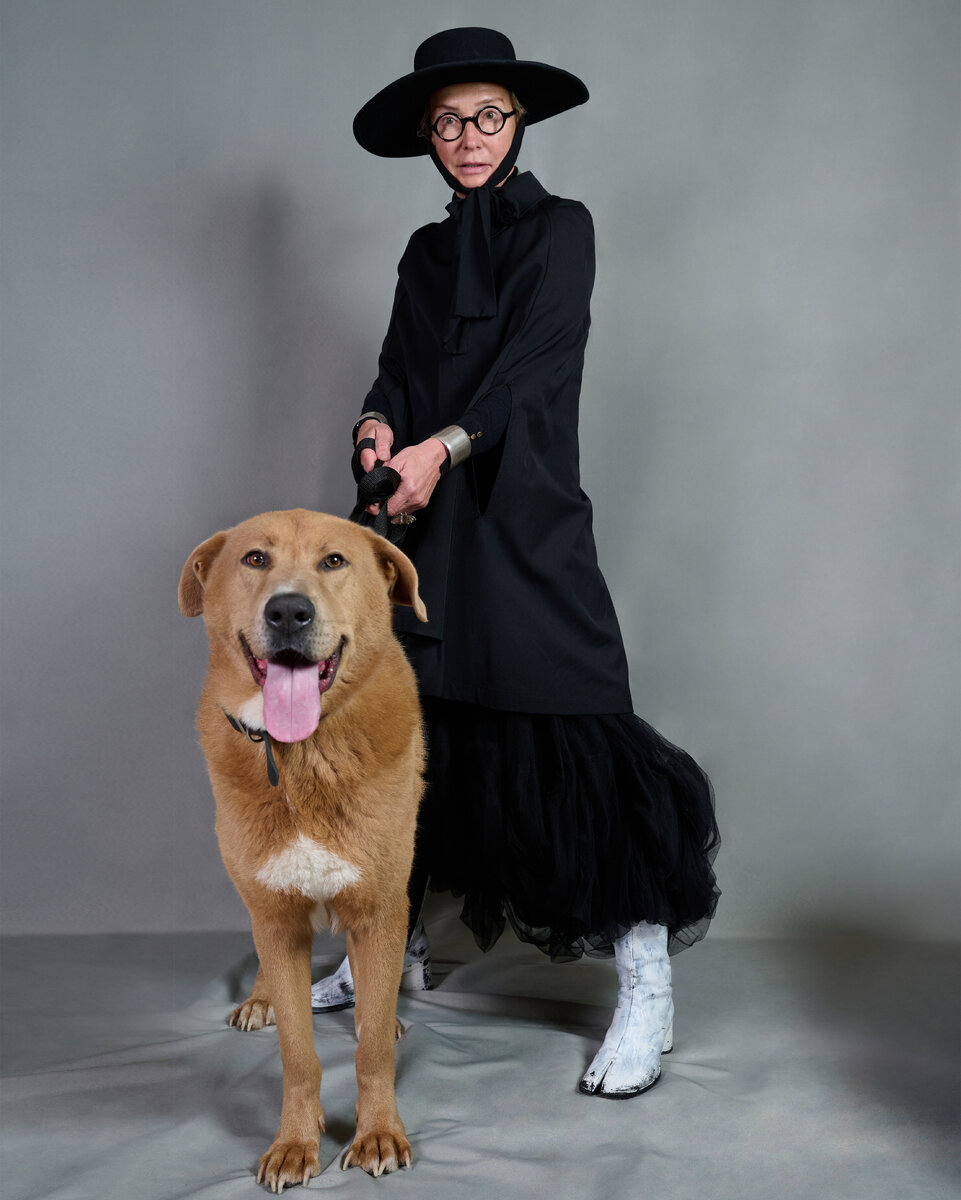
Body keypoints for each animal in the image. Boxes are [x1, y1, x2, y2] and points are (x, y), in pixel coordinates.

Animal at [178, 508, 427, 1189]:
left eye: (334, 561)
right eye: (255, 559)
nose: (289, 611)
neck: (302, 751)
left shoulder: (380, 907)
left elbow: (371, 1049)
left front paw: (378, 1133)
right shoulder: (277, 918)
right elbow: (297, 1053)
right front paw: (294, 1142)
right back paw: (260, 998)